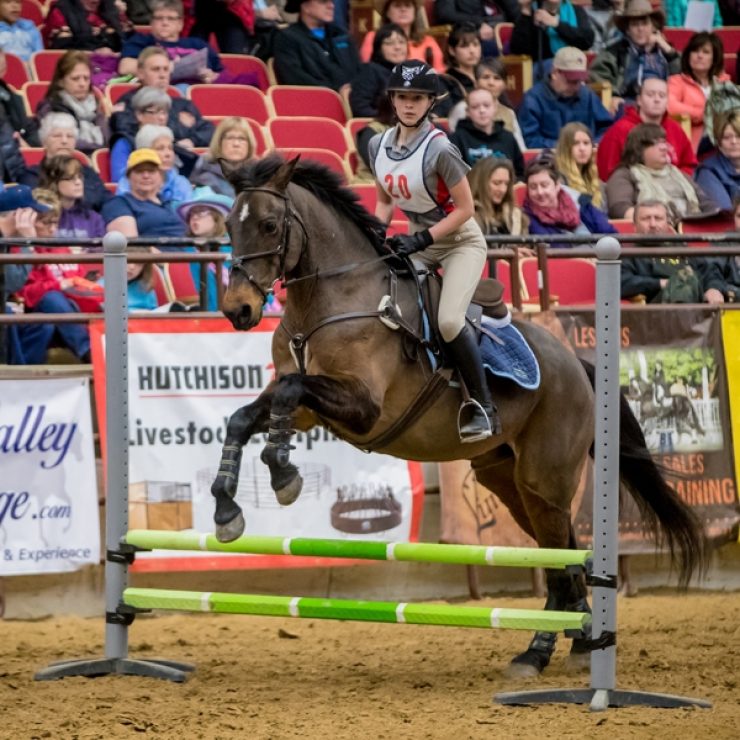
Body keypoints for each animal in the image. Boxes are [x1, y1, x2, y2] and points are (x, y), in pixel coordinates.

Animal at [210, 155, 706, 677]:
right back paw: (575, 641)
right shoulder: (309, 412)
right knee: (561, 553)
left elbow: (288, 393)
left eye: (269, 225)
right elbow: (245, 417)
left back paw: (542, 650)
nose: (238, 309)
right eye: (229, 226)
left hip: (545, 478)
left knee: (559, 555)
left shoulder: (362, 406)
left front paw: (282, 473)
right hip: (507, 481)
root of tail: (576, 363)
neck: (328, 303)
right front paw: (227, 510)